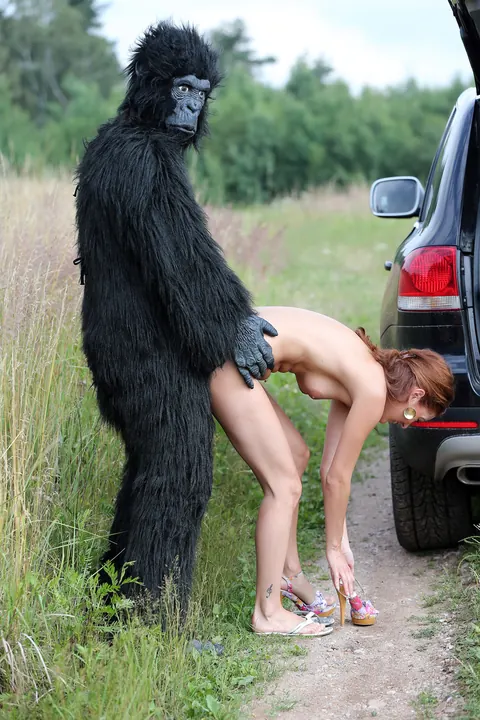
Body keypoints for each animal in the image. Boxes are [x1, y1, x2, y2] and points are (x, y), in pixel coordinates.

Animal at [74, 21, 277, 611]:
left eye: (202, 90)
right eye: (182, 85)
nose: (191, 105)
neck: (138, 122)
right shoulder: (151, 171)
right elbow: (184, 258)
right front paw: (243, 332)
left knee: (142, 464)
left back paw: (113, 597)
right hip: (151, 379)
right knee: (174, 467)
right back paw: (155, 613)